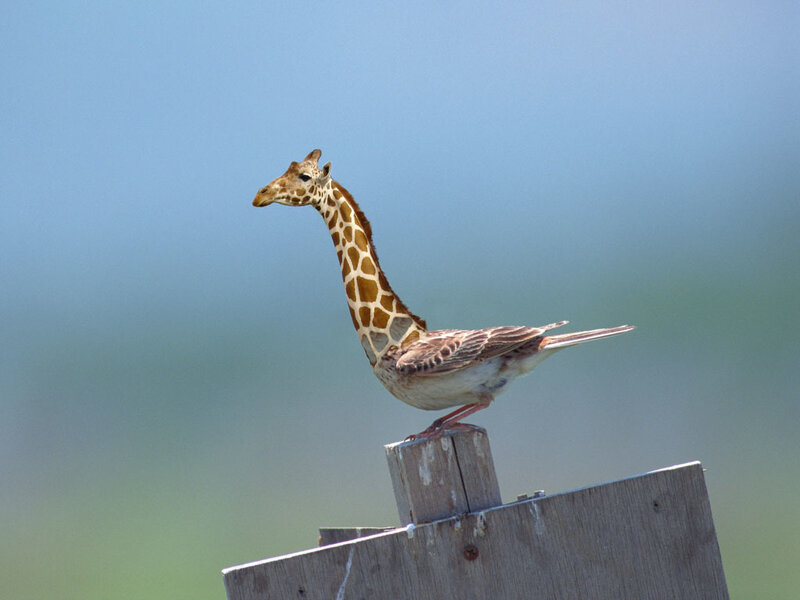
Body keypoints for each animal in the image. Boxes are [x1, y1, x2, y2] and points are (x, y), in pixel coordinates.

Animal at [253, 150, 634, 438]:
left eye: (304, 176)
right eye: (285, 170)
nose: (262, 193)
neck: (386, 340)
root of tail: (537, 336)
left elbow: (470, 407)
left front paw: (437, 429)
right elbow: (448, 413)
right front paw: (429, 428)